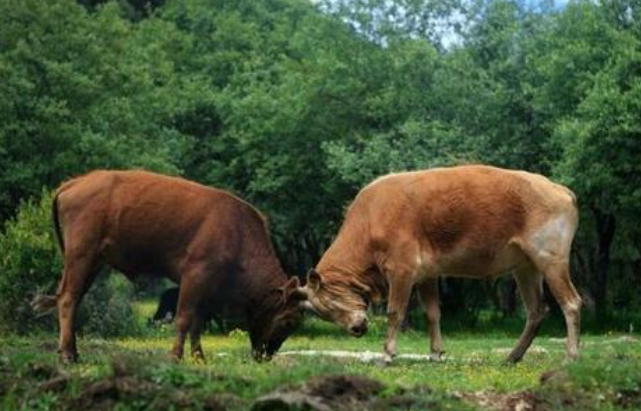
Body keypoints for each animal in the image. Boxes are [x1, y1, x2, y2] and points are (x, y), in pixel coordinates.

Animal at [32, 171, 304, 364]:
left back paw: (74, 352)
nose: (265, 355)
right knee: (68, 298)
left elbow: (197, 322)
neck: (237, 232)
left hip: (93, 263)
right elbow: (184, 318)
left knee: (73, 298)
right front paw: (175, 356)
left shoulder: (207, 287)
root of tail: (75, 183)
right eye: (288, 321)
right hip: (81, 257)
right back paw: (68, 355)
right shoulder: (195, 275)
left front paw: (199, 357)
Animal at [300, 164, 580, 364]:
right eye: (325, 313)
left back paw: (571, 356)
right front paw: (435, 353)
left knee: (571, 303)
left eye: (330, 304)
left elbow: (395, 312)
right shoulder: (427, 274)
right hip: (525, 267)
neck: (369, 221)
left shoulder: (402, 269)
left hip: (550, 258)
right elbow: (433, 312)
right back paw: (513, 356)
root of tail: (557, 188)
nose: (356, 329)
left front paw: (388, 354)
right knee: (535, 310)